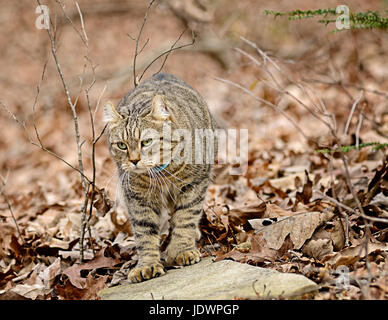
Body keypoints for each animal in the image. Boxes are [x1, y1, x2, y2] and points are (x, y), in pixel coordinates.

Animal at [104, 73, 217, 282]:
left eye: (146, 142)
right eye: (122, 145)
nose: (134, 160)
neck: (160, 173)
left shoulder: (194, 185)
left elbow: (186, 217)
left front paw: (181, 250)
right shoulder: (138, 198)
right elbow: (145, 231)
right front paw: (147, 264)